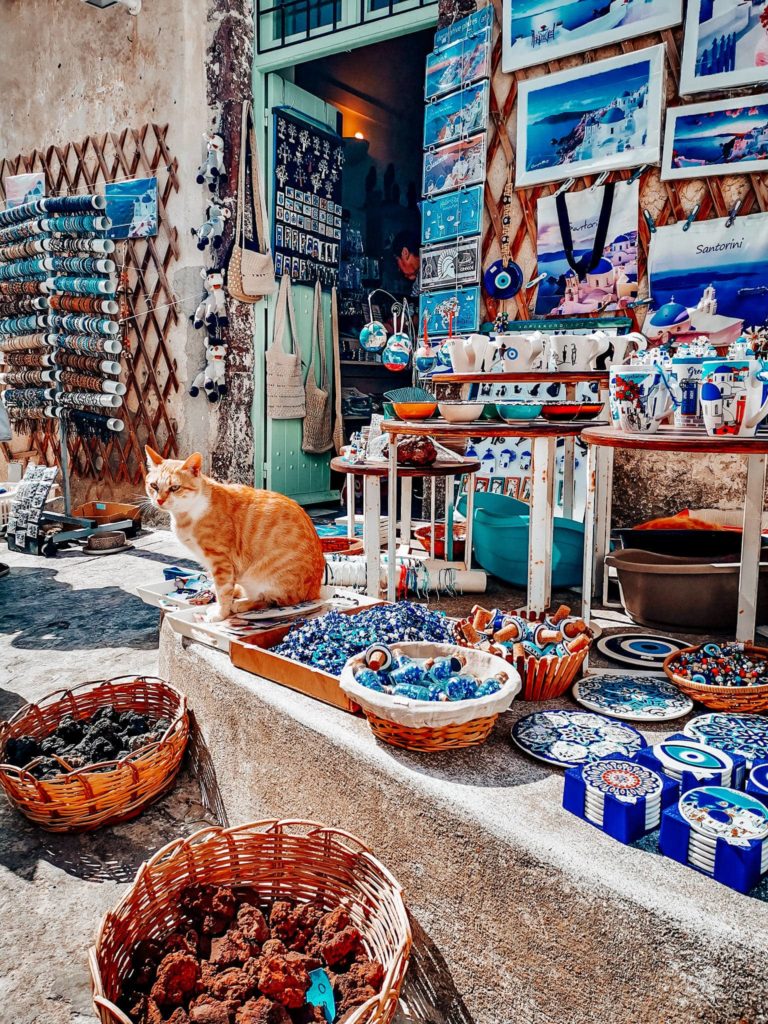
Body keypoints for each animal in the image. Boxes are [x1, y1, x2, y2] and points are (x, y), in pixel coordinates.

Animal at [144, 450, 325, 622]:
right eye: (154, 485)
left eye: (174, 488)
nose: (159, 501)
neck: (186, 514)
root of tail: (314, 591)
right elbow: (224, 589)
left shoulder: (221, 562)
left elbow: (223, 592)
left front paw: (220, 614)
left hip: (262, 578)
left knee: (272, 600)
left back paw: (241, 604)